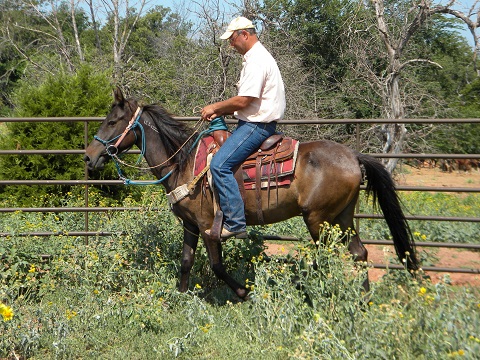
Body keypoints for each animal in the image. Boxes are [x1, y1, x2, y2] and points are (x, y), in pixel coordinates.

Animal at [84, 88, 418, 298]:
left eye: (112, 121)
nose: (89, 157)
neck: (183, 162)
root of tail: (352, 156)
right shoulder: (190, 225)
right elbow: (186, 261)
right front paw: (179, 297)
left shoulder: (208, 226)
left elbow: (217, 266)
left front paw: (244, 292)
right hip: (343, 217)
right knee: (360, 254)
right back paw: (363, 299)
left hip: (318, 220)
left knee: (326, 257)